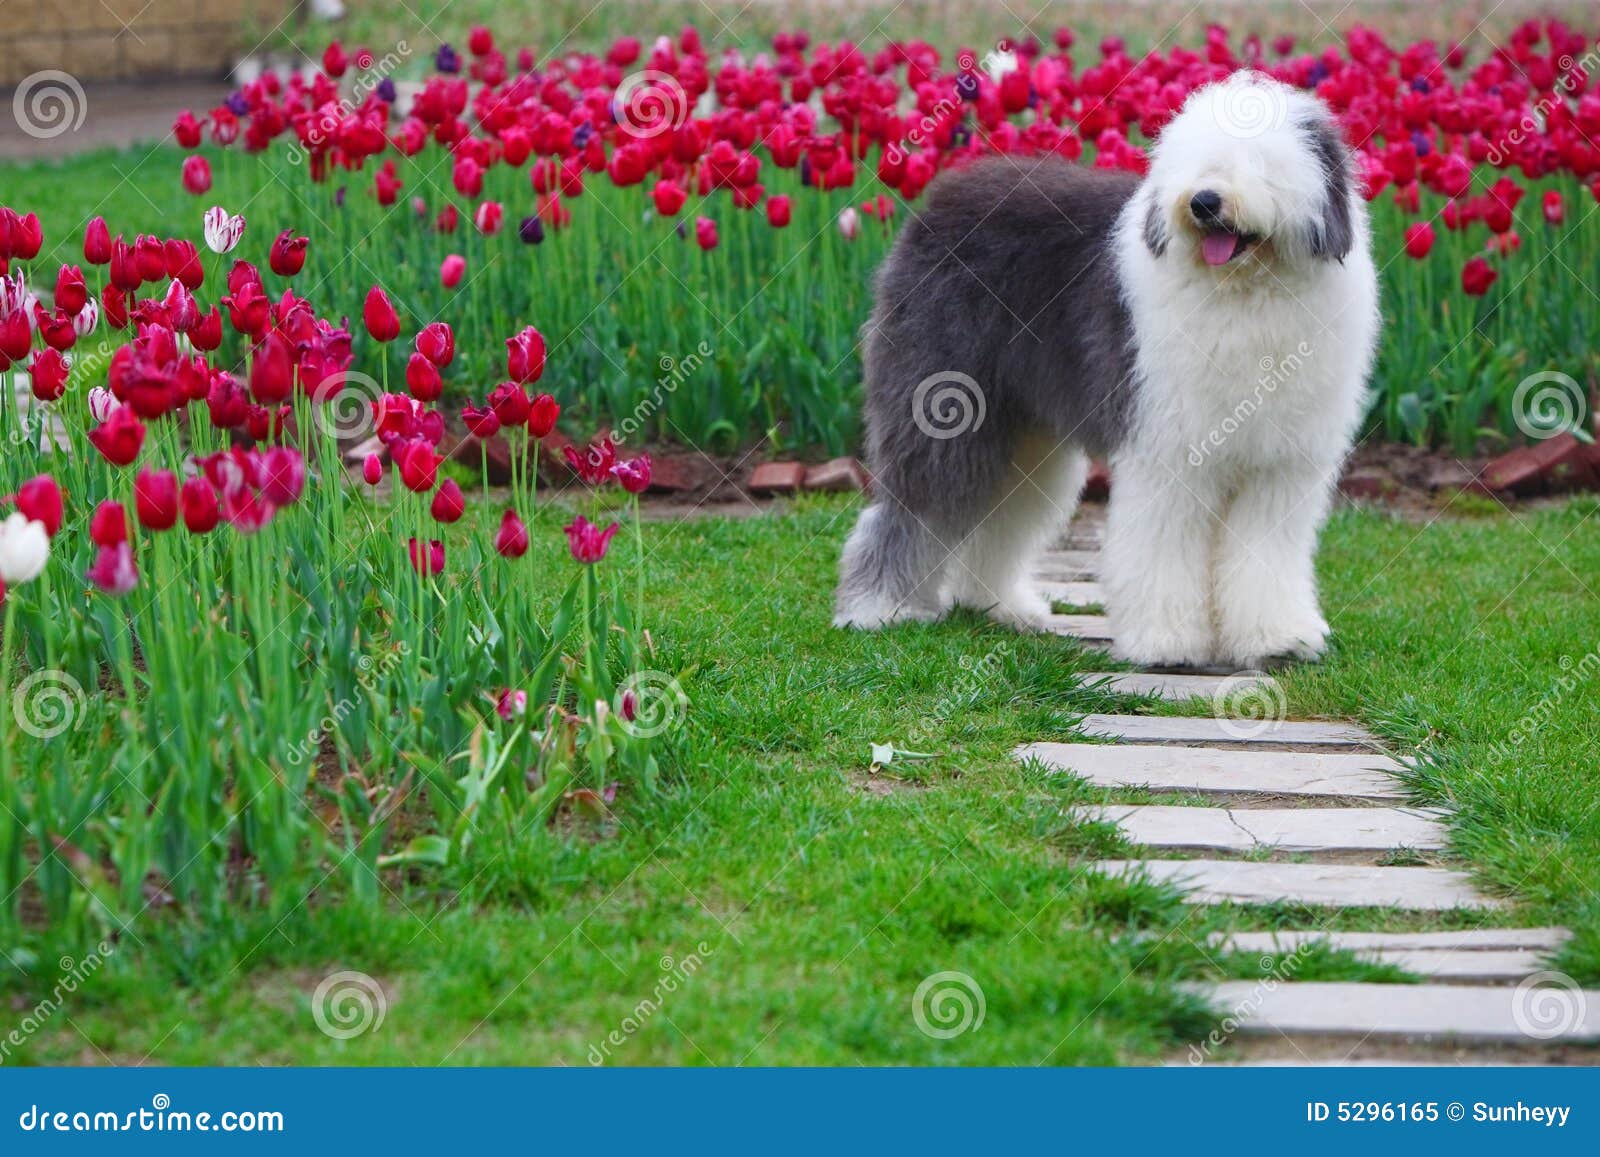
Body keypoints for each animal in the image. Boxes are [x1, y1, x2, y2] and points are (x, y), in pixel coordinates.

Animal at [832, 72, 1382, 668]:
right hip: (944, 404)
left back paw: (1000, 606)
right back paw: (879, 607)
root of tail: (942, 196)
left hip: (1021, 432)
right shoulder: (1170, 450)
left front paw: (1276, 637)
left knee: (999, 515)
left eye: (1259, 161)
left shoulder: (1280, 467)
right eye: (1195, 162)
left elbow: (1265, 554)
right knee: (914, 506)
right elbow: (1163, 548)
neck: (1245, 292)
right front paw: (1167, 643)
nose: (1203, 201)